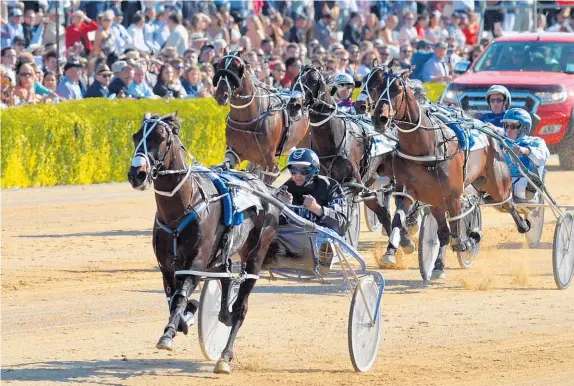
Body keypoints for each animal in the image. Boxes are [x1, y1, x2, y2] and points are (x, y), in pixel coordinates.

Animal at [126, 112, 282, 374]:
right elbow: (174, 300)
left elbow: (180, 297)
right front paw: (186, 318)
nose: (137, 173)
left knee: (240, 309)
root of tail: (263, 188)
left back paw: (225, 357)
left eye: (161, 137)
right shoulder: (167, 267)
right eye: (136, 136)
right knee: (226, 285)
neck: (181, 209)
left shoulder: (196, 263)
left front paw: (167, 335)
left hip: (256, 256)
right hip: (222, 256)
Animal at [214, 52, 310, 184]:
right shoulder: (235, 152)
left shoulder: (269, 162)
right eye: (218, 65)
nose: (221, 95)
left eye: (236, 66)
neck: (248, 120)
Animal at [290, 65, 416, 255]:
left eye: (313, 80)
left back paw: (406, 238)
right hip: (370, 182)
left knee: (402, 200)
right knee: (382, 212)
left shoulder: (352, 183)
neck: (333, 140)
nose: (293, 104)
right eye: (295, 79)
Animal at [358, 65, 532, 278]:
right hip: (437, 200)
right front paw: (393, 251)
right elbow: (400, 221)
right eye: (378, 87)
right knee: (443, 230)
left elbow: (458, 233)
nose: (379, 119)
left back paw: (522, 225)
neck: (426, 146)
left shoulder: (452, 195)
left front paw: (469, 240)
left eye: (398, 89)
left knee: (508, 203)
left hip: (496, 183)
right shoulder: (408, 192)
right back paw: (439, 264)